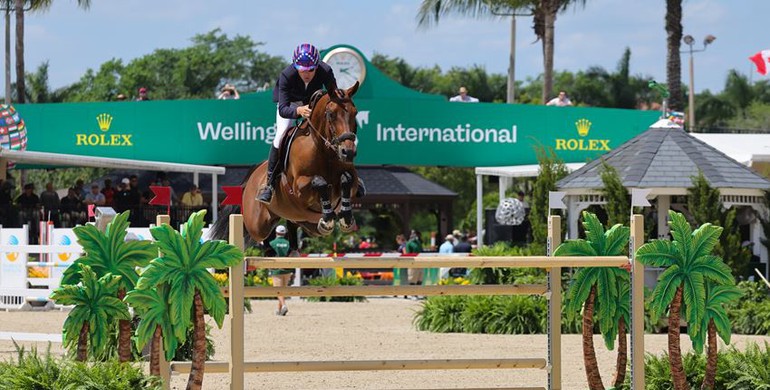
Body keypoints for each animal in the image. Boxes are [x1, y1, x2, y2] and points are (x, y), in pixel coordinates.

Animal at [212, 82, 362, 245]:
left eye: (355, 113)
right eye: (331, 114)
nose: (348, 152)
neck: (322, 150)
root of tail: (249, 181)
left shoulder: (351, 179)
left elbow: (347, 179)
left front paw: (346, 218)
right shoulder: (299, 187)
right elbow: (319, 181)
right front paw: (329, 217)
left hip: (306, 222)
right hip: (257, 226)